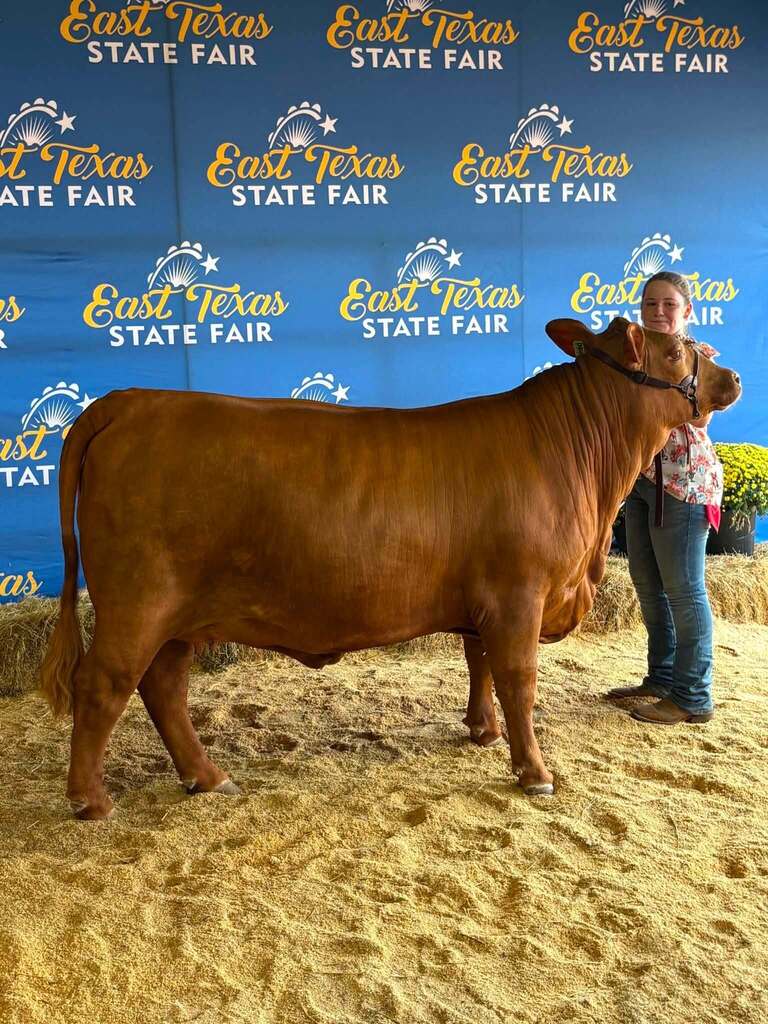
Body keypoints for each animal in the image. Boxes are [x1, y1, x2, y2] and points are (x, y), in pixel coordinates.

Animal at [40, 317, 741, 820]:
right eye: (678, 351)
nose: (733, 375)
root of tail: (127, 401)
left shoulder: (484, 597)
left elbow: (479, 662)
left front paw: (482, 731)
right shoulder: (519, 592)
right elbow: (518, 678)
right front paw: (534, 772)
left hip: (176, 615)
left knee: (162, 687)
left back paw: (206, 777)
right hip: (138, 600)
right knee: (102, 682)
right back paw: (90, 800)